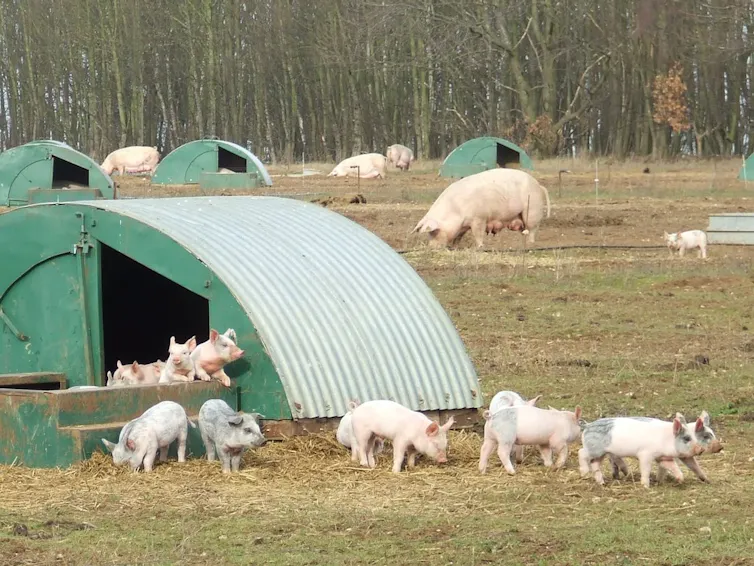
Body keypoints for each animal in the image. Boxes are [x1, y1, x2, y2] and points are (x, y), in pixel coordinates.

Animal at [412, 168, 551, 247]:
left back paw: (530, 244)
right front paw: (455, 247)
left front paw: (480, 247)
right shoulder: (463, 226)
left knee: (533, 229)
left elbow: (478, 234)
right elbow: (458, 236)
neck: (455, 208)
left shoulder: (478, 218)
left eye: (433, 232)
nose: (431, 247)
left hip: (532, 210)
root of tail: (539, 186)